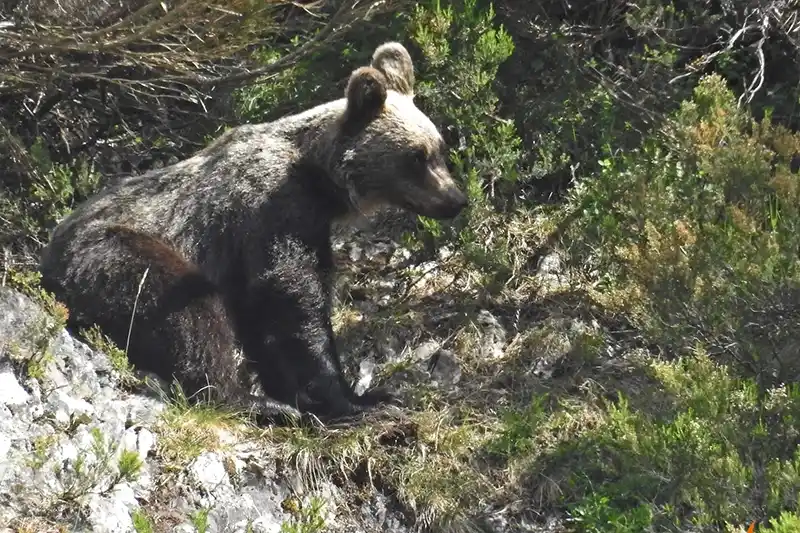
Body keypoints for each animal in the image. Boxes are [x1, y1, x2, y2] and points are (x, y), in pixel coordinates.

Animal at [37, 41, 468, 424]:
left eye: (439, 148)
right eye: (416, 157)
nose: (456, 199)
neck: (319, 178)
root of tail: (46, 266)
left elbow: (266, 318)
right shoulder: (271, 209)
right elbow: (291, 298)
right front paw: (350, 399)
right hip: (112, 252)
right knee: (186, 311)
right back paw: (251, 402)